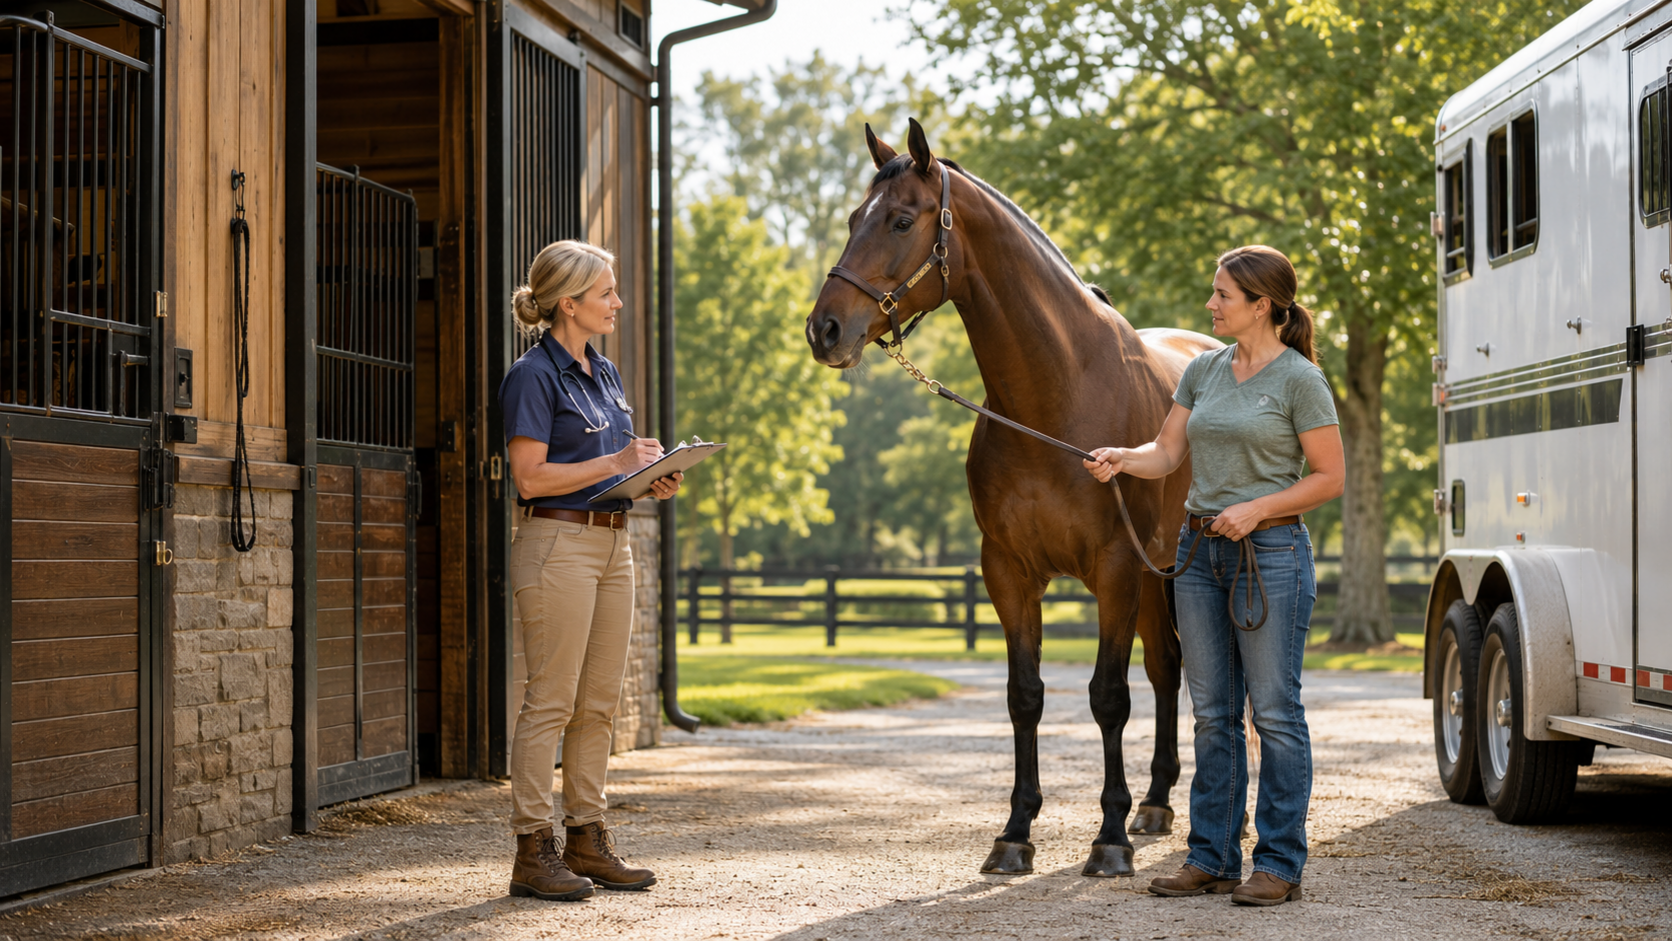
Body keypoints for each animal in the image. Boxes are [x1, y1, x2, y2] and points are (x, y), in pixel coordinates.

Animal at [806, 119, 1221, 877]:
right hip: (1156, 575)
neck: (1057, 395)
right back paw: (1155, 802)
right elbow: (1024, 698)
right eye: (853, 219)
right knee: (1166, 666)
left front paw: (1107, 839)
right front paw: (1015, 832)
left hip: (1171, 569)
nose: (825, 330)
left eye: (902, 220)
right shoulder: (1008, 572)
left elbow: (1108, 697)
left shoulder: (1114, 569)